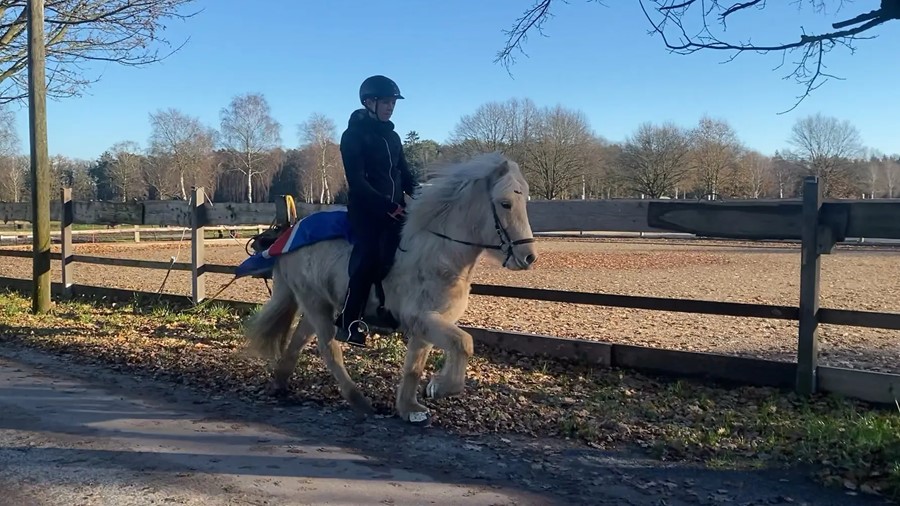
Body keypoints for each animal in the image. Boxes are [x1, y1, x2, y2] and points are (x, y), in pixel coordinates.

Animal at [243, 152, 538, 425]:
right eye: (505, 203)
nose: (528, 258)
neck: (438, 252)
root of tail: (286, 235)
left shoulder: (427, 323)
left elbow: (414, 366)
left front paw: (410, 408)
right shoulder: (420, 317)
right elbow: (463, 343)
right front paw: (439, 387)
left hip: (320, 303)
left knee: (299, 340)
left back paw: (279, 383)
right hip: (315, 303)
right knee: (329, 349)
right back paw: (359, 401)